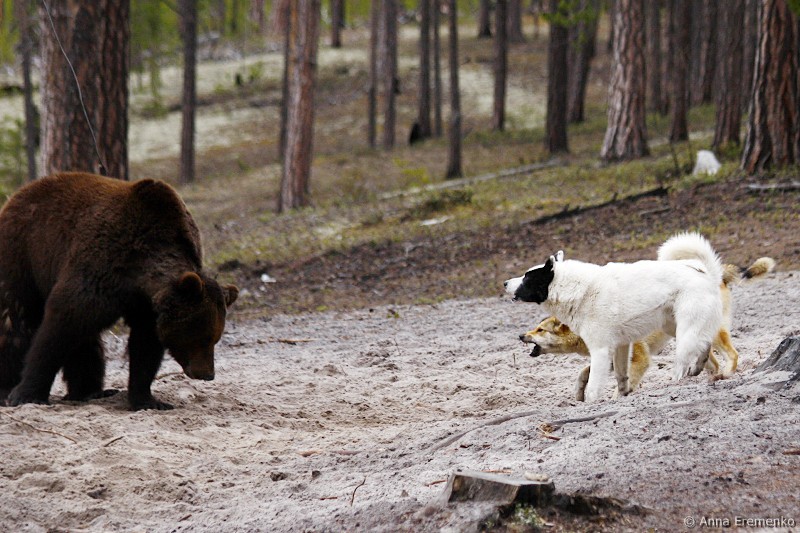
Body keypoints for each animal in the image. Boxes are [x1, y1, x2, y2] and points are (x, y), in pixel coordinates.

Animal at [0, 172, 238, 410]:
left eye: (215, 338)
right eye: (203, 337)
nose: (207, 374)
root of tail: (19, 193)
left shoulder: (146, 307)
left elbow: (145, 347)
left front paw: (148, 400)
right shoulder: (98, 270)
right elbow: (60, 326)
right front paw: (26, 394)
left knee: (87, 340)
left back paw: (90, 391)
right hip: (23, 255)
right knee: (15, 320)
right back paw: (6, 389)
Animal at [505, 232, 725, 402]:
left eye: (527, 277)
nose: (505, 283)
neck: (577, 289)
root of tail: (705, 272)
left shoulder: (600, 351)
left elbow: (593, 387)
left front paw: (591, 404)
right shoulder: (621, 346)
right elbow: (621, 376)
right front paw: (622, 395)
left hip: (685, 332)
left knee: (684, 360)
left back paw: (677, 381)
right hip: (673, 326)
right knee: (706, 344)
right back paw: (700, 368)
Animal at [518, 257, 775, 400]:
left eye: (540, 330)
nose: (521, 335)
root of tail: (716, 274)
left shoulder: (637, 357)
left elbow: (623, 380)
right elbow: (585, 373)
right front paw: (581, 392)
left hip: (705, 330)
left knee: (730, 354)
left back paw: (724, 373)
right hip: (682, 331)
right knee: (708, 357)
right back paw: (704, 375)